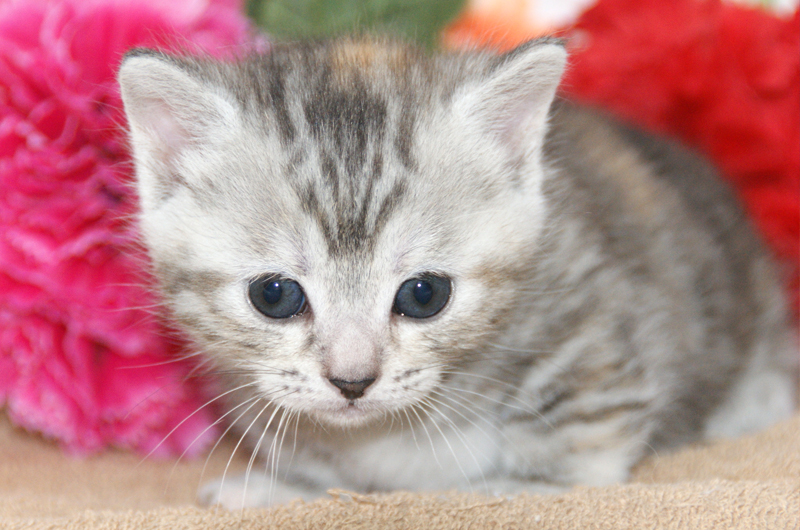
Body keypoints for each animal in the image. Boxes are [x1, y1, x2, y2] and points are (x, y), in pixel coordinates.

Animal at [115, 35, 796, 506]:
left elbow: (578, 452)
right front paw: (279, 489)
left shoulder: (587, 317)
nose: (352, 381)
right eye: (275, 295)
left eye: (424, 295)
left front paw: (516, 488)